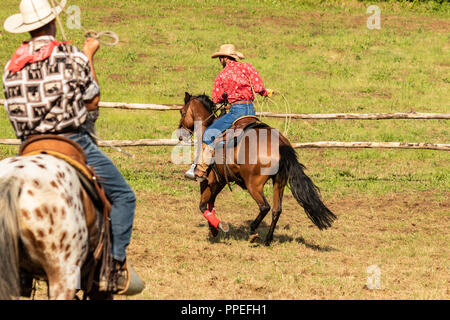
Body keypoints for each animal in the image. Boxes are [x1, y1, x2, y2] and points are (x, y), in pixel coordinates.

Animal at [178, 92, 336, 245]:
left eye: (182, 111)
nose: (180, 134)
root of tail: (280, 144)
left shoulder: (208, 181)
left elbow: (203, 206)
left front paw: (218, 227)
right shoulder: (220, 181)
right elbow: (211, 204)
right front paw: (214, 230)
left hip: (253, 184)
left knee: (264, 206)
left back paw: (253, 232)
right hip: (279, 182)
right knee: (276, 210)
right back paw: (267, 240)